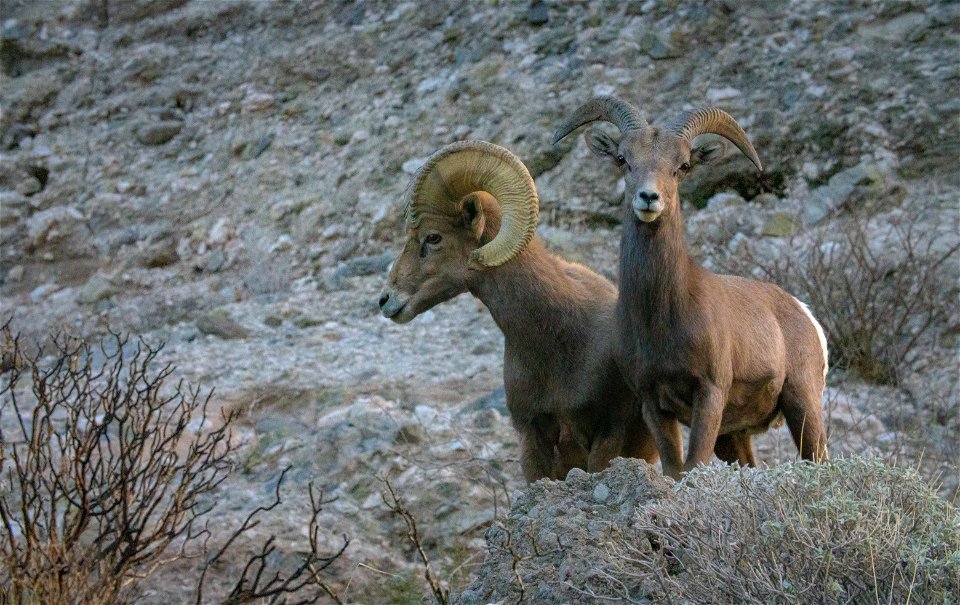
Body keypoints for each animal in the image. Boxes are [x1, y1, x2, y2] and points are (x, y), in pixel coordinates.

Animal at [552, 98, 828, 476]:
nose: (649, 197)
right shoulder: (653, 403)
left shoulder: (709, 394)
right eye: (623, 159)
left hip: (802, 402)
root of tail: (805, 315)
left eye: (682, 166)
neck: (662, 317)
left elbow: (694, 464)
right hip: (734, 436)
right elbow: (674, 468)